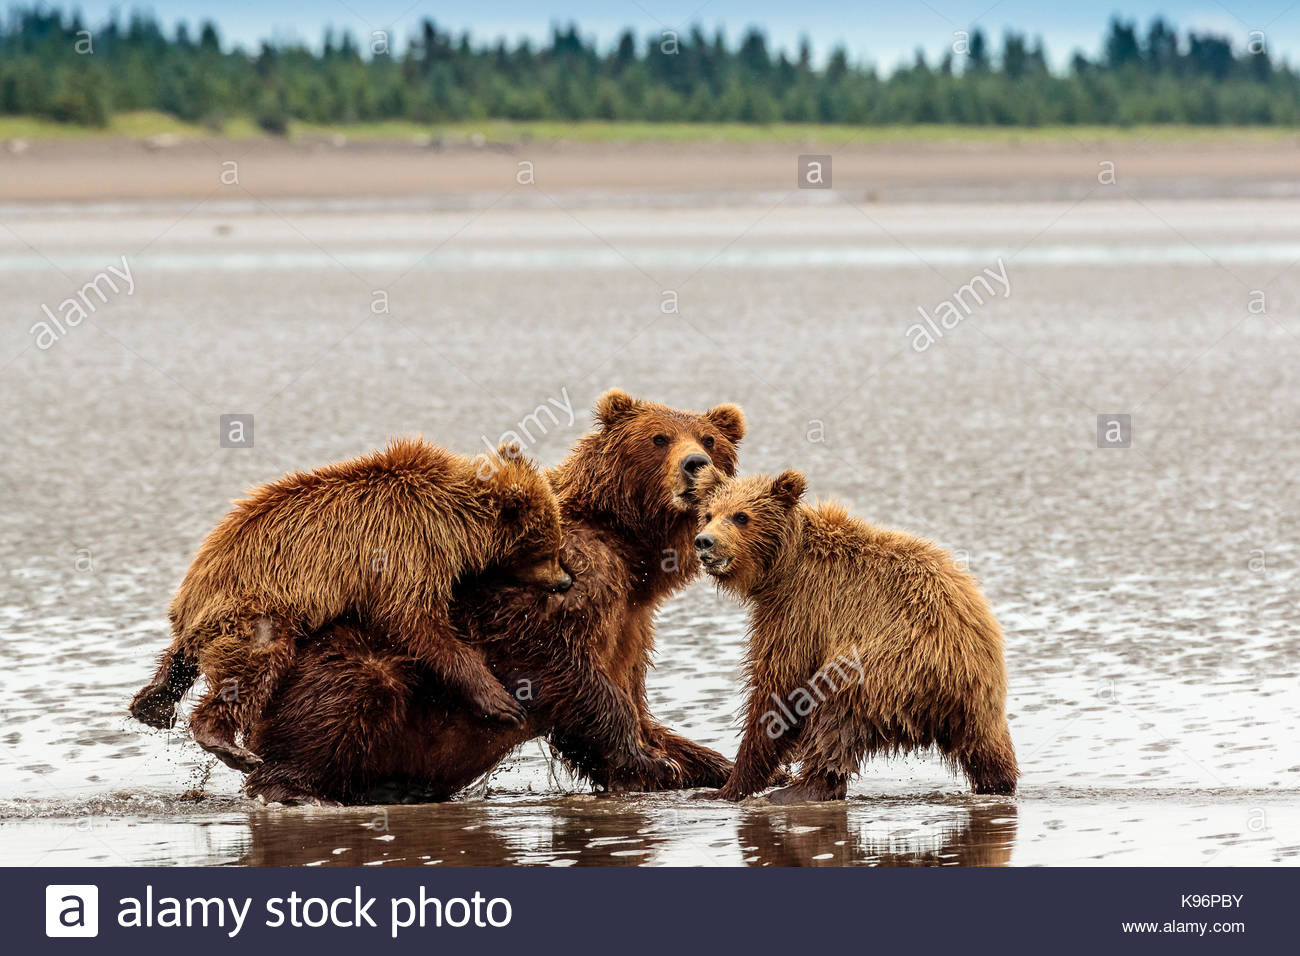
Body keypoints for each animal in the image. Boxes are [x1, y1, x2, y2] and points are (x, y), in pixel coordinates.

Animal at [128, 437, 569, 775]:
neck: (455, 524)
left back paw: (153, 702)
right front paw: (501, 701)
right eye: (547, 547)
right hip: (254, 607)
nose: (565, 580)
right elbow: (417, 623)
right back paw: (226, 743)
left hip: (206, 616)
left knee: (181, 658)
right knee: (257, 662)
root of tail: (192, 588)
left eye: (555, 540)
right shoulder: (404, 547)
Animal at [240, 392, 748, 806]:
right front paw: (648, 759)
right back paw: (294, 789)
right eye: (659, 438)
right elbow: (567, 669)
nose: (696, 463)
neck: (629, 547)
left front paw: (707, 763)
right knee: (351, 690)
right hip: (341, 656)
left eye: (709, 439)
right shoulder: (568, 580)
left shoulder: (632, 623)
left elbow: (635, 699)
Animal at [696, 468, 1019, 806]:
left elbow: (780, 683)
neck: (783, 565)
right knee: (988, 752)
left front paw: (728, 787)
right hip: (978, 709)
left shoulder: (801, 608)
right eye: (708, 514)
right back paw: (998, 782)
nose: (705, 541)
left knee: (834, 709)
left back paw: (803, 788)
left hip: (894, 666)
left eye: (741, 516)